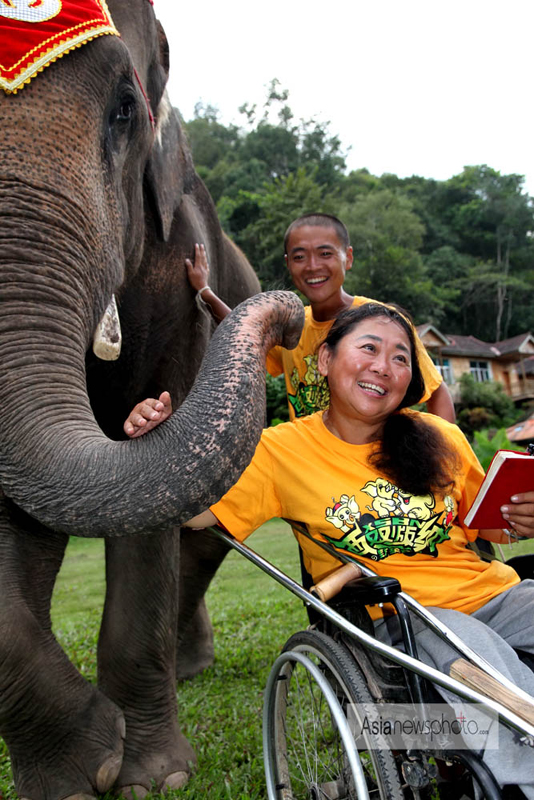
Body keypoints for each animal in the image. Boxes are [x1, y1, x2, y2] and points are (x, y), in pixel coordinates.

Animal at [0, 1, 306, 800]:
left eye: (125, 109)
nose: (290, 316)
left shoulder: (173, 267)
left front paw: (150, 779)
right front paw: (82, 773)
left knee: (200, 537)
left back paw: (189, 669)